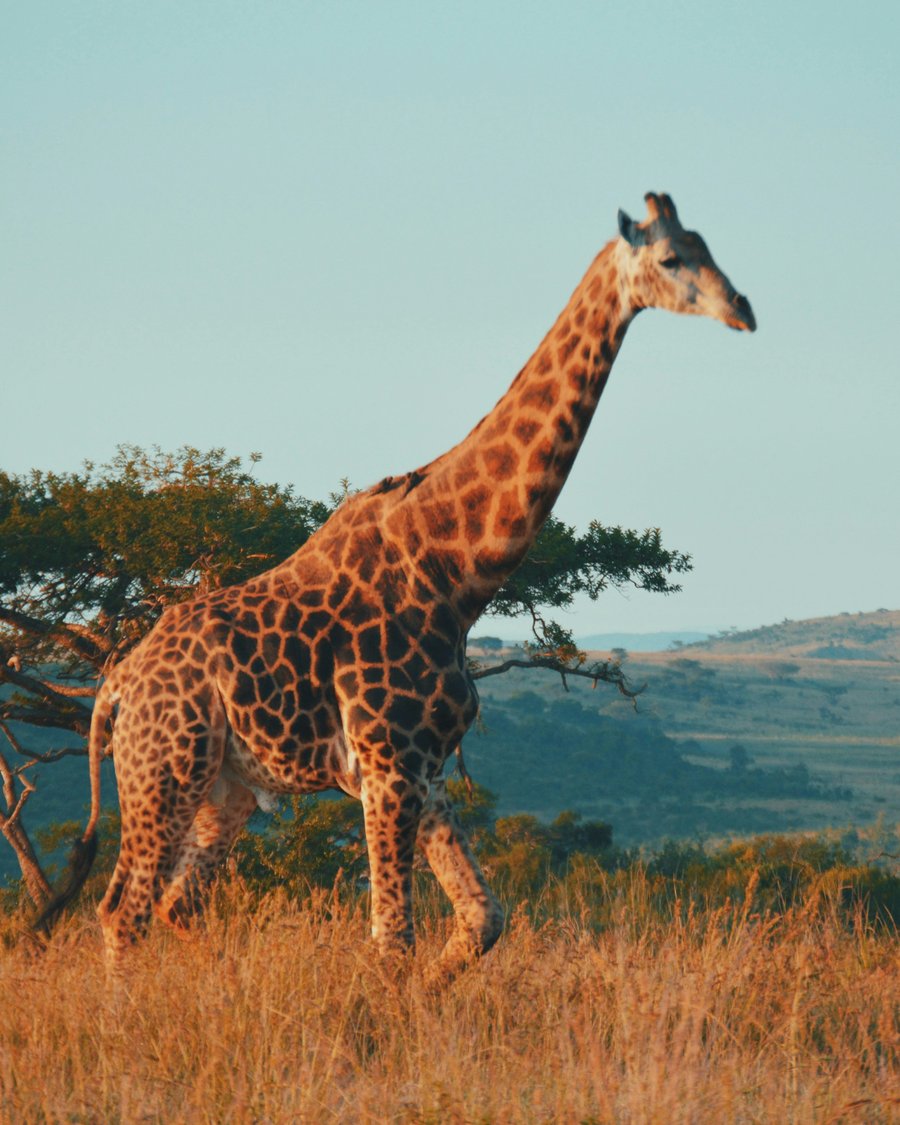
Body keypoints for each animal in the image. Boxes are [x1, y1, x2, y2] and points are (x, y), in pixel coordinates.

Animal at [44, 193, 755, 973]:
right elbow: (392, 940)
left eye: (709, 245)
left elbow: (483, 918)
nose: (744, 309)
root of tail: (115, 686)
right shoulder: (387, 764)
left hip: (224, 788)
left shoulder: (423, 766)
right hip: (163, 770)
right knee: (123, 910)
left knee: (176, 903)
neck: (456, 572)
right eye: (671, 258)